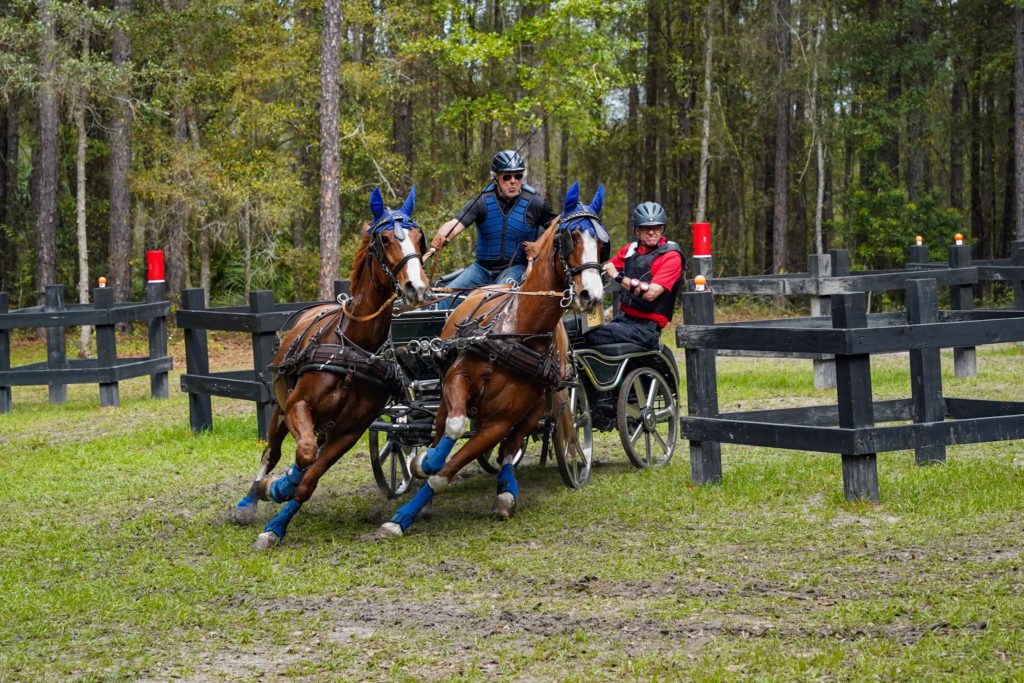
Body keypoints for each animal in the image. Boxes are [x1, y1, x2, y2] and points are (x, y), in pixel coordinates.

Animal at [231, 187, 428, 548]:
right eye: (384, 238)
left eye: (419, 238)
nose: (416, 288)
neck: (354, 347)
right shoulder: (298, 406)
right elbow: (304, 454)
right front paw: (277, 489)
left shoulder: (349, 432)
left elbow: (309, 478)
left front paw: (277, 523)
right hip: (281, 410)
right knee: (272, 453)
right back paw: (250, 499)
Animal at [378, 183, 606, 540]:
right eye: (571, 237)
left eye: (602, 243)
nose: (590, 295)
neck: (516, 332)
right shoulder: (456, 381)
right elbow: (452, 430)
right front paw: (423, 469)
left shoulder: (500, 421)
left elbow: (446, 473)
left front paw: (405, 513)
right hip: (443, 387)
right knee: (441, 426)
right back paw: (425, 459)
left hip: (537, 407)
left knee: (510, 449)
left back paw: (505, 491)